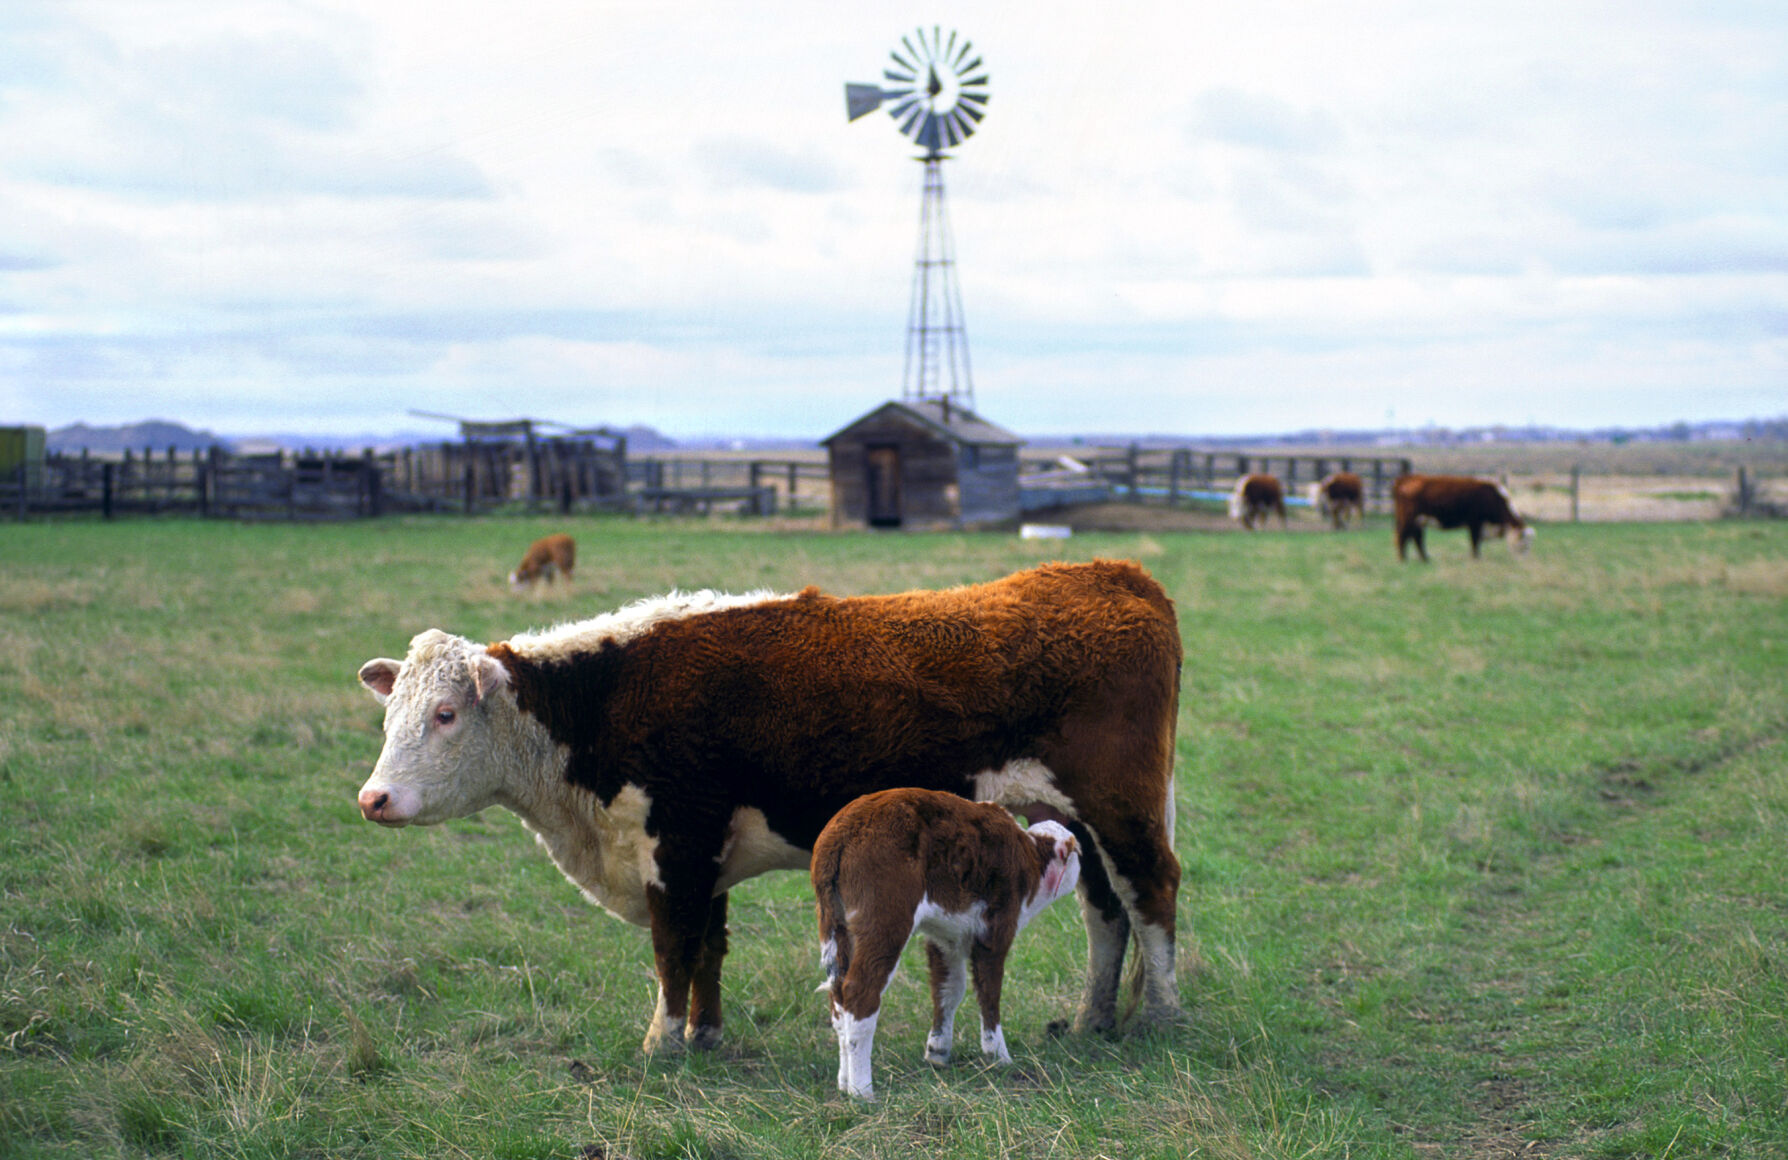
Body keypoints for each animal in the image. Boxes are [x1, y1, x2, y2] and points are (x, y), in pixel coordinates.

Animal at [355, 560, 1183, 1054]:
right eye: (392, 713)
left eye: (446, 715)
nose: (373, 798)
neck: (603, 704)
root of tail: (1110, 572)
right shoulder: (703, 858)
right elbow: (707, 950)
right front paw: (705, 1037)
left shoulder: (676, 848)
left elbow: (674, 950)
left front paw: (661, 1046)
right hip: (1074, 816)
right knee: (1106, 911)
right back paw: (1093, 1020)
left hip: (1121, 807)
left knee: (1152, 894)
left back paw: (1163, 1017)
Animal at [813, 788, 1081, 1100]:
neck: (1031, 860)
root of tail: (839, 833)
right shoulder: (997, 927)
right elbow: (989, 992)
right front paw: (998, 1056)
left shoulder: (946, 937)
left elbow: (949, 988)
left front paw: (938, 1051)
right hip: (885, 914)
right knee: (859, 993)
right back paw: (861, 1091)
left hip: (836, 921)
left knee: (838, 997)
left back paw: (844, 1082)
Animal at [1392, 473, 1534, 561]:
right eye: (1524, 544)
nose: (1525, 561)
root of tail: (1407, 478)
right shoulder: (1475, 523)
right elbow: (1475, 542)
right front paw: (1476, 559)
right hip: (1408, 519)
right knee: (1403, 536)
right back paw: (1403, 560)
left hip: (1418, 521)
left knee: (1416, 538)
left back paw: (1424, 559)